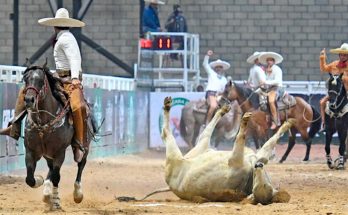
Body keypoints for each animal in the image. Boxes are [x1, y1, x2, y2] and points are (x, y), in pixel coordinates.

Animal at [22, 64, 95, 210]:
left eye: (41, 80)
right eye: (25, 79)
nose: (29, 100)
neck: (43, 123)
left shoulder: (59, 152)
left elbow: (57, 177)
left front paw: (55, 201)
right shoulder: (30, 151)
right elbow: (30, 178)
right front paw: (40, 181)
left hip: (85, 146)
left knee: (81, 164)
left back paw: (77, 194)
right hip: (47, 154)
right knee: (50, 169)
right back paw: (46, 192)